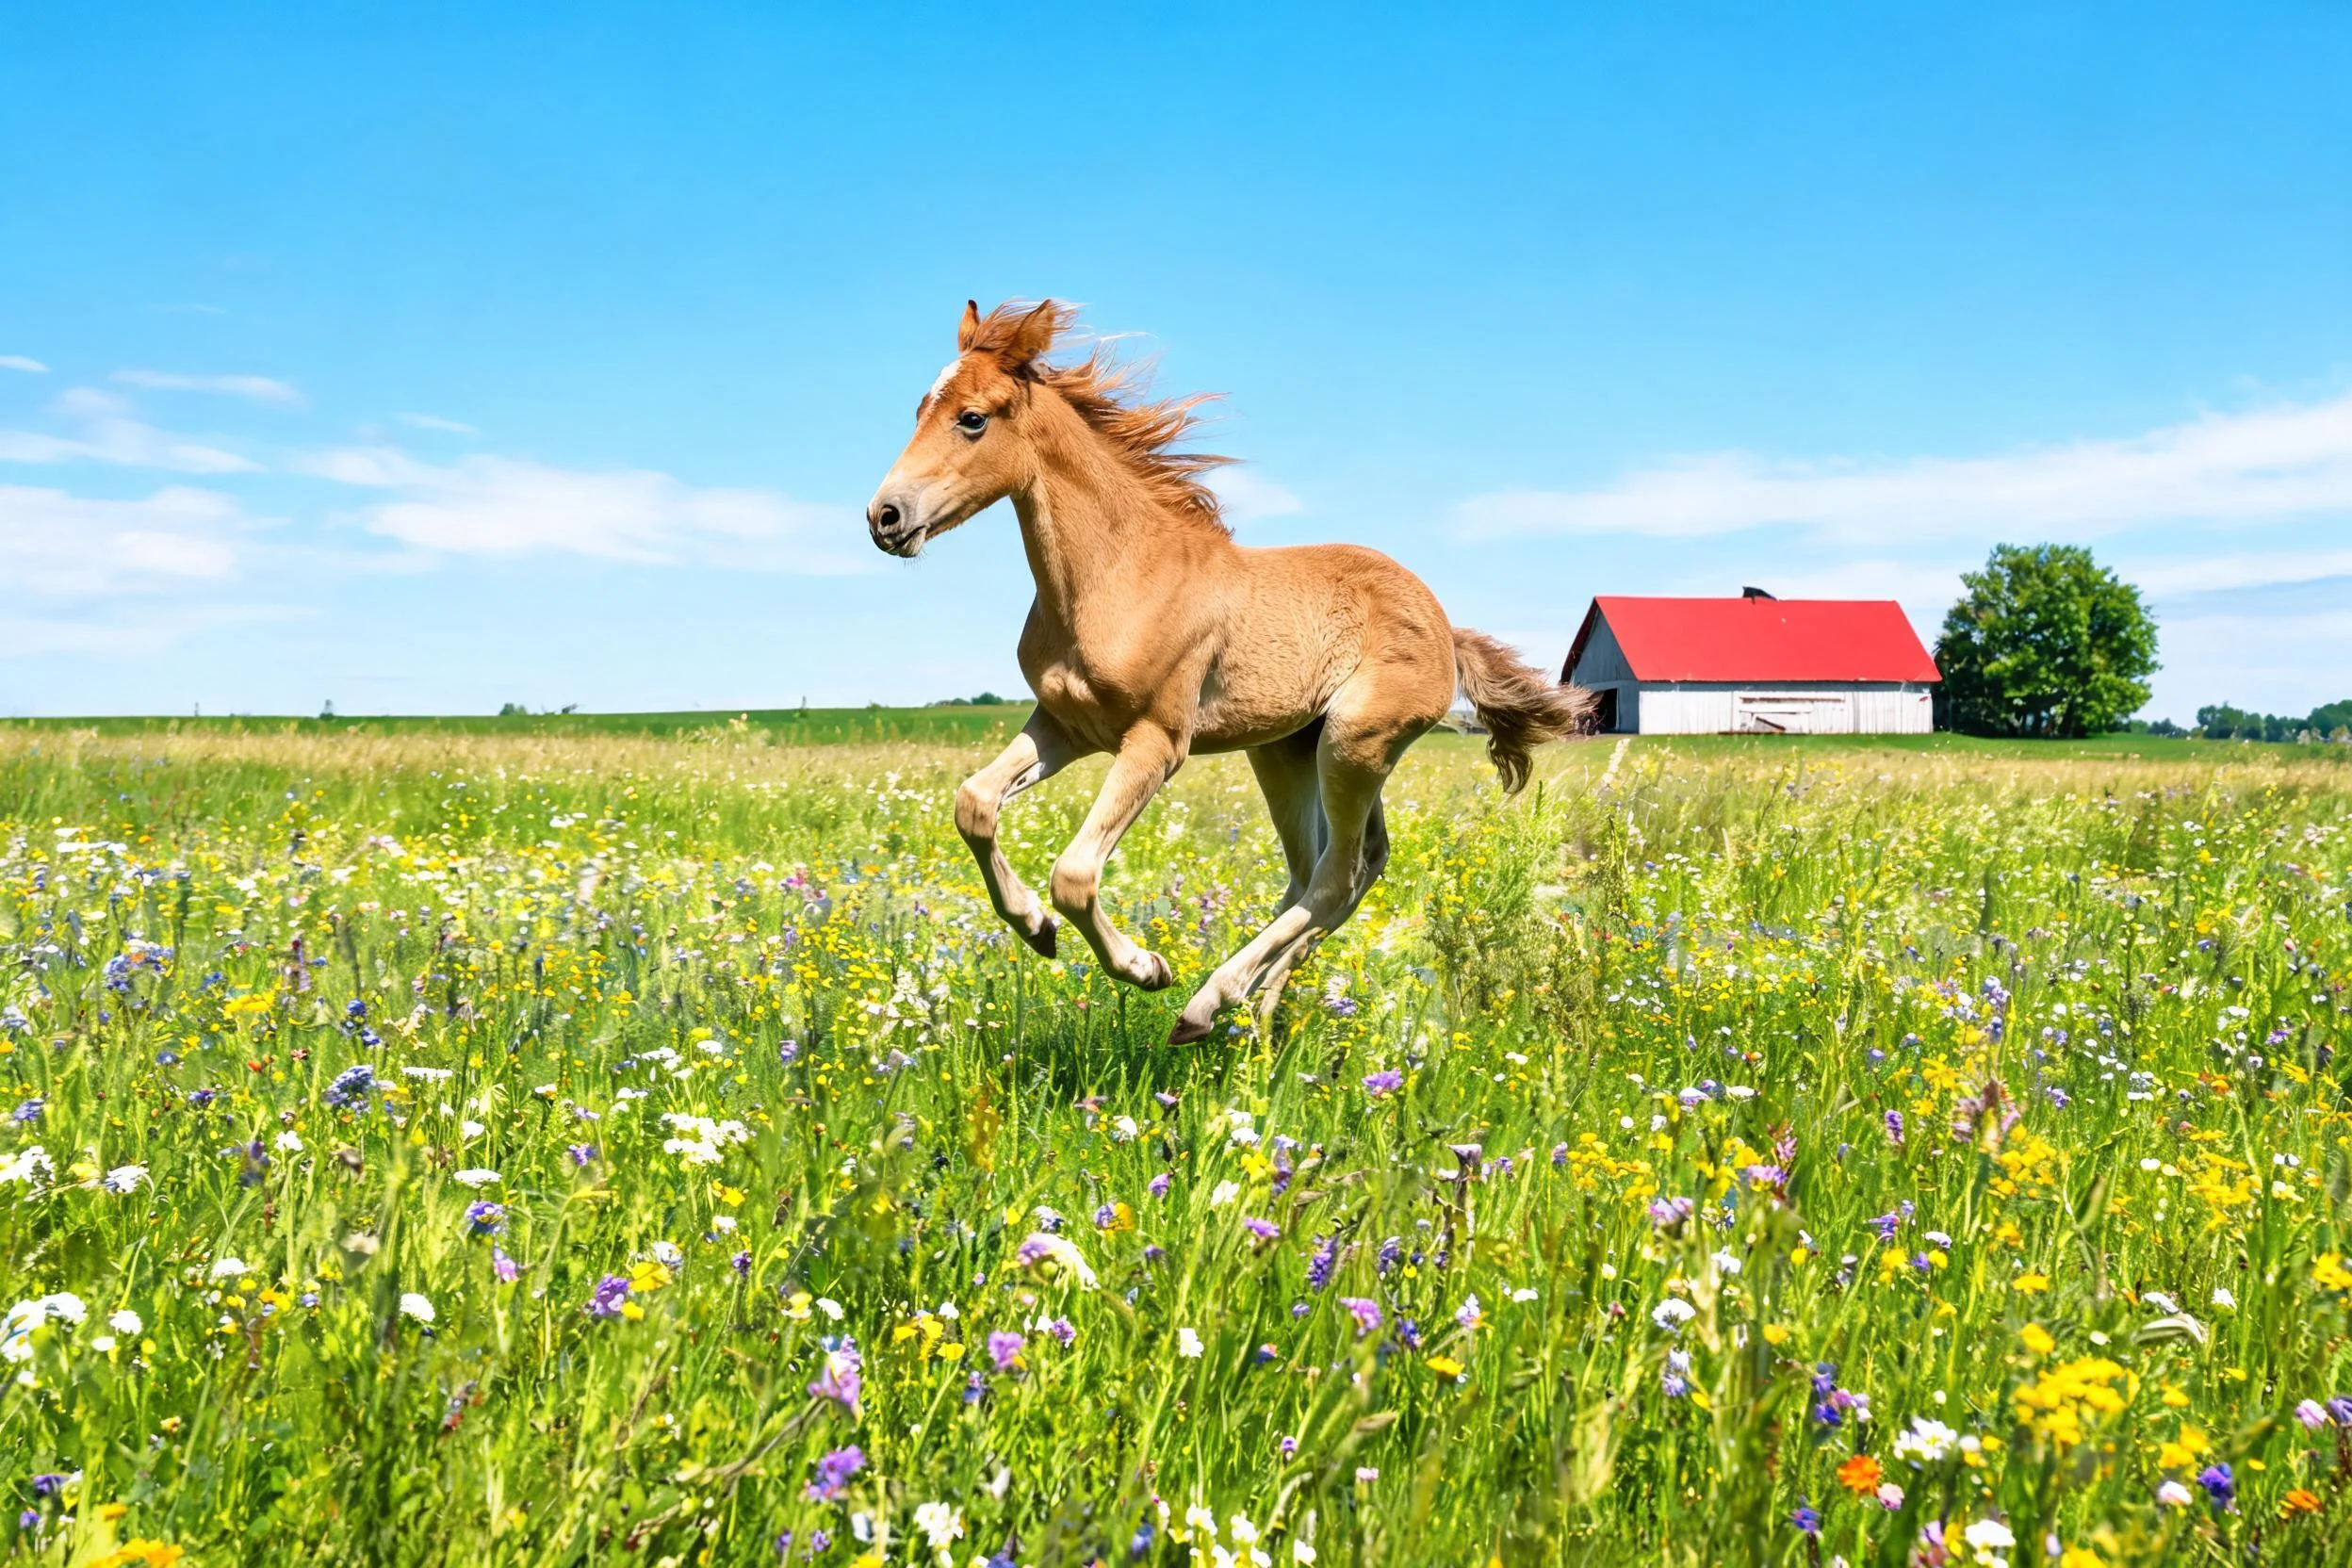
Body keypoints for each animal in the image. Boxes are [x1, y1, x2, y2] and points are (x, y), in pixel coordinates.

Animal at [865, 299, 1590, 1043]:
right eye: (919, 407)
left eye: (972, 418)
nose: (884, 516)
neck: (1118, 575)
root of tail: (1446, 628)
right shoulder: (1064, 727)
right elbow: (975, 804)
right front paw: (1035, 929)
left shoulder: (1157, 743)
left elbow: (1074, 874)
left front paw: (1145, 967)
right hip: (1289, 751)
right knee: (1333, 869)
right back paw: (1256, 1009)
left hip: (1353, 745)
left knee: (1335, 876)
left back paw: (1207, 1003)